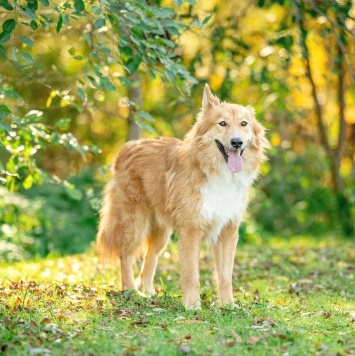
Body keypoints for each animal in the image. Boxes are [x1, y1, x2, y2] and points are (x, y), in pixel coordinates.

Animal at [97, 83, 270, 308]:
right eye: (222, 123)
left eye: (244, 124)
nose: (237, 142)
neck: (218, 174)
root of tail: (127, 147)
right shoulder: (191, 232)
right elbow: (191, 275)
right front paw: (193, 306)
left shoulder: (228, 232)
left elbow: (225, 276)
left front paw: (227, 305)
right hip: (135, 223)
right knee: (125, 255)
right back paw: (131, 291)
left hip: (161, 232)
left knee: (150, 258)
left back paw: (148, 292)